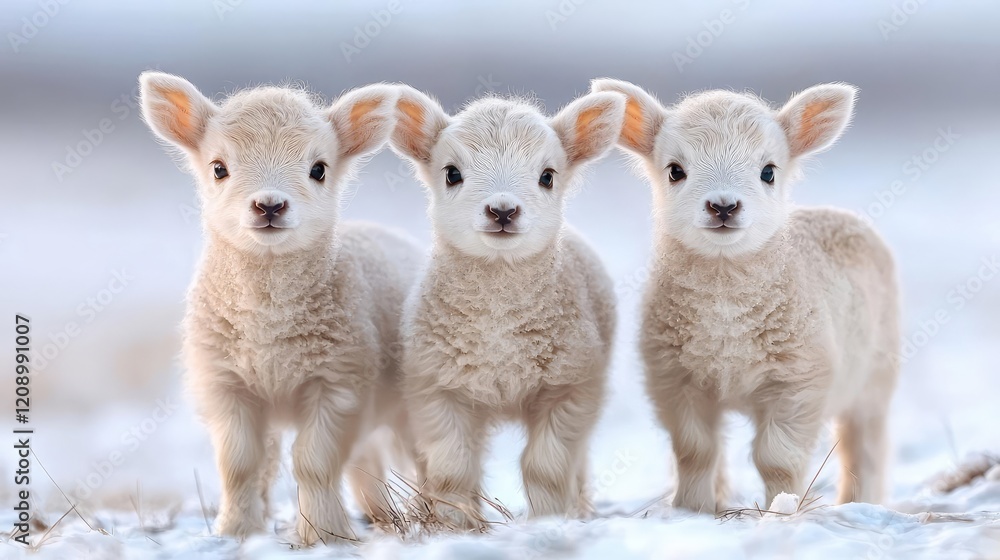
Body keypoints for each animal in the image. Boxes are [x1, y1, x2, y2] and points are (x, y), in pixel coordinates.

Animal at [139, 72, 421, 544]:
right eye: (219, 168)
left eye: (319, 169)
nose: (269, 205)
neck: (268, 323)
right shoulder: (227, 384)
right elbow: (240, 464)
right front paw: (236, 531)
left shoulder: (338, 381)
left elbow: (314, 462)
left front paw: (322, 536)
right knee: (367, 462)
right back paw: (381, 516)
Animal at [388, 86, 626, 526]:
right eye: (451, 173)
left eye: (547, 176)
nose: (502, 211)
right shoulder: (438, 388)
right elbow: (453, 468)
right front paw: (457, 525)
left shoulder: (570, 386)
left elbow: (546, 467)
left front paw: (548, 520)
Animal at [591, 79, 900, 511]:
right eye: (675, 171)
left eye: (768, 171)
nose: (723, 206)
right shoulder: (675, 378)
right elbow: (695, 451)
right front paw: (693, 510)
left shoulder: (799, 379)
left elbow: (777, 459)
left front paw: (781, 509)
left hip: (875, 376)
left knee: (865, 444)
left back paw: (862, 503)